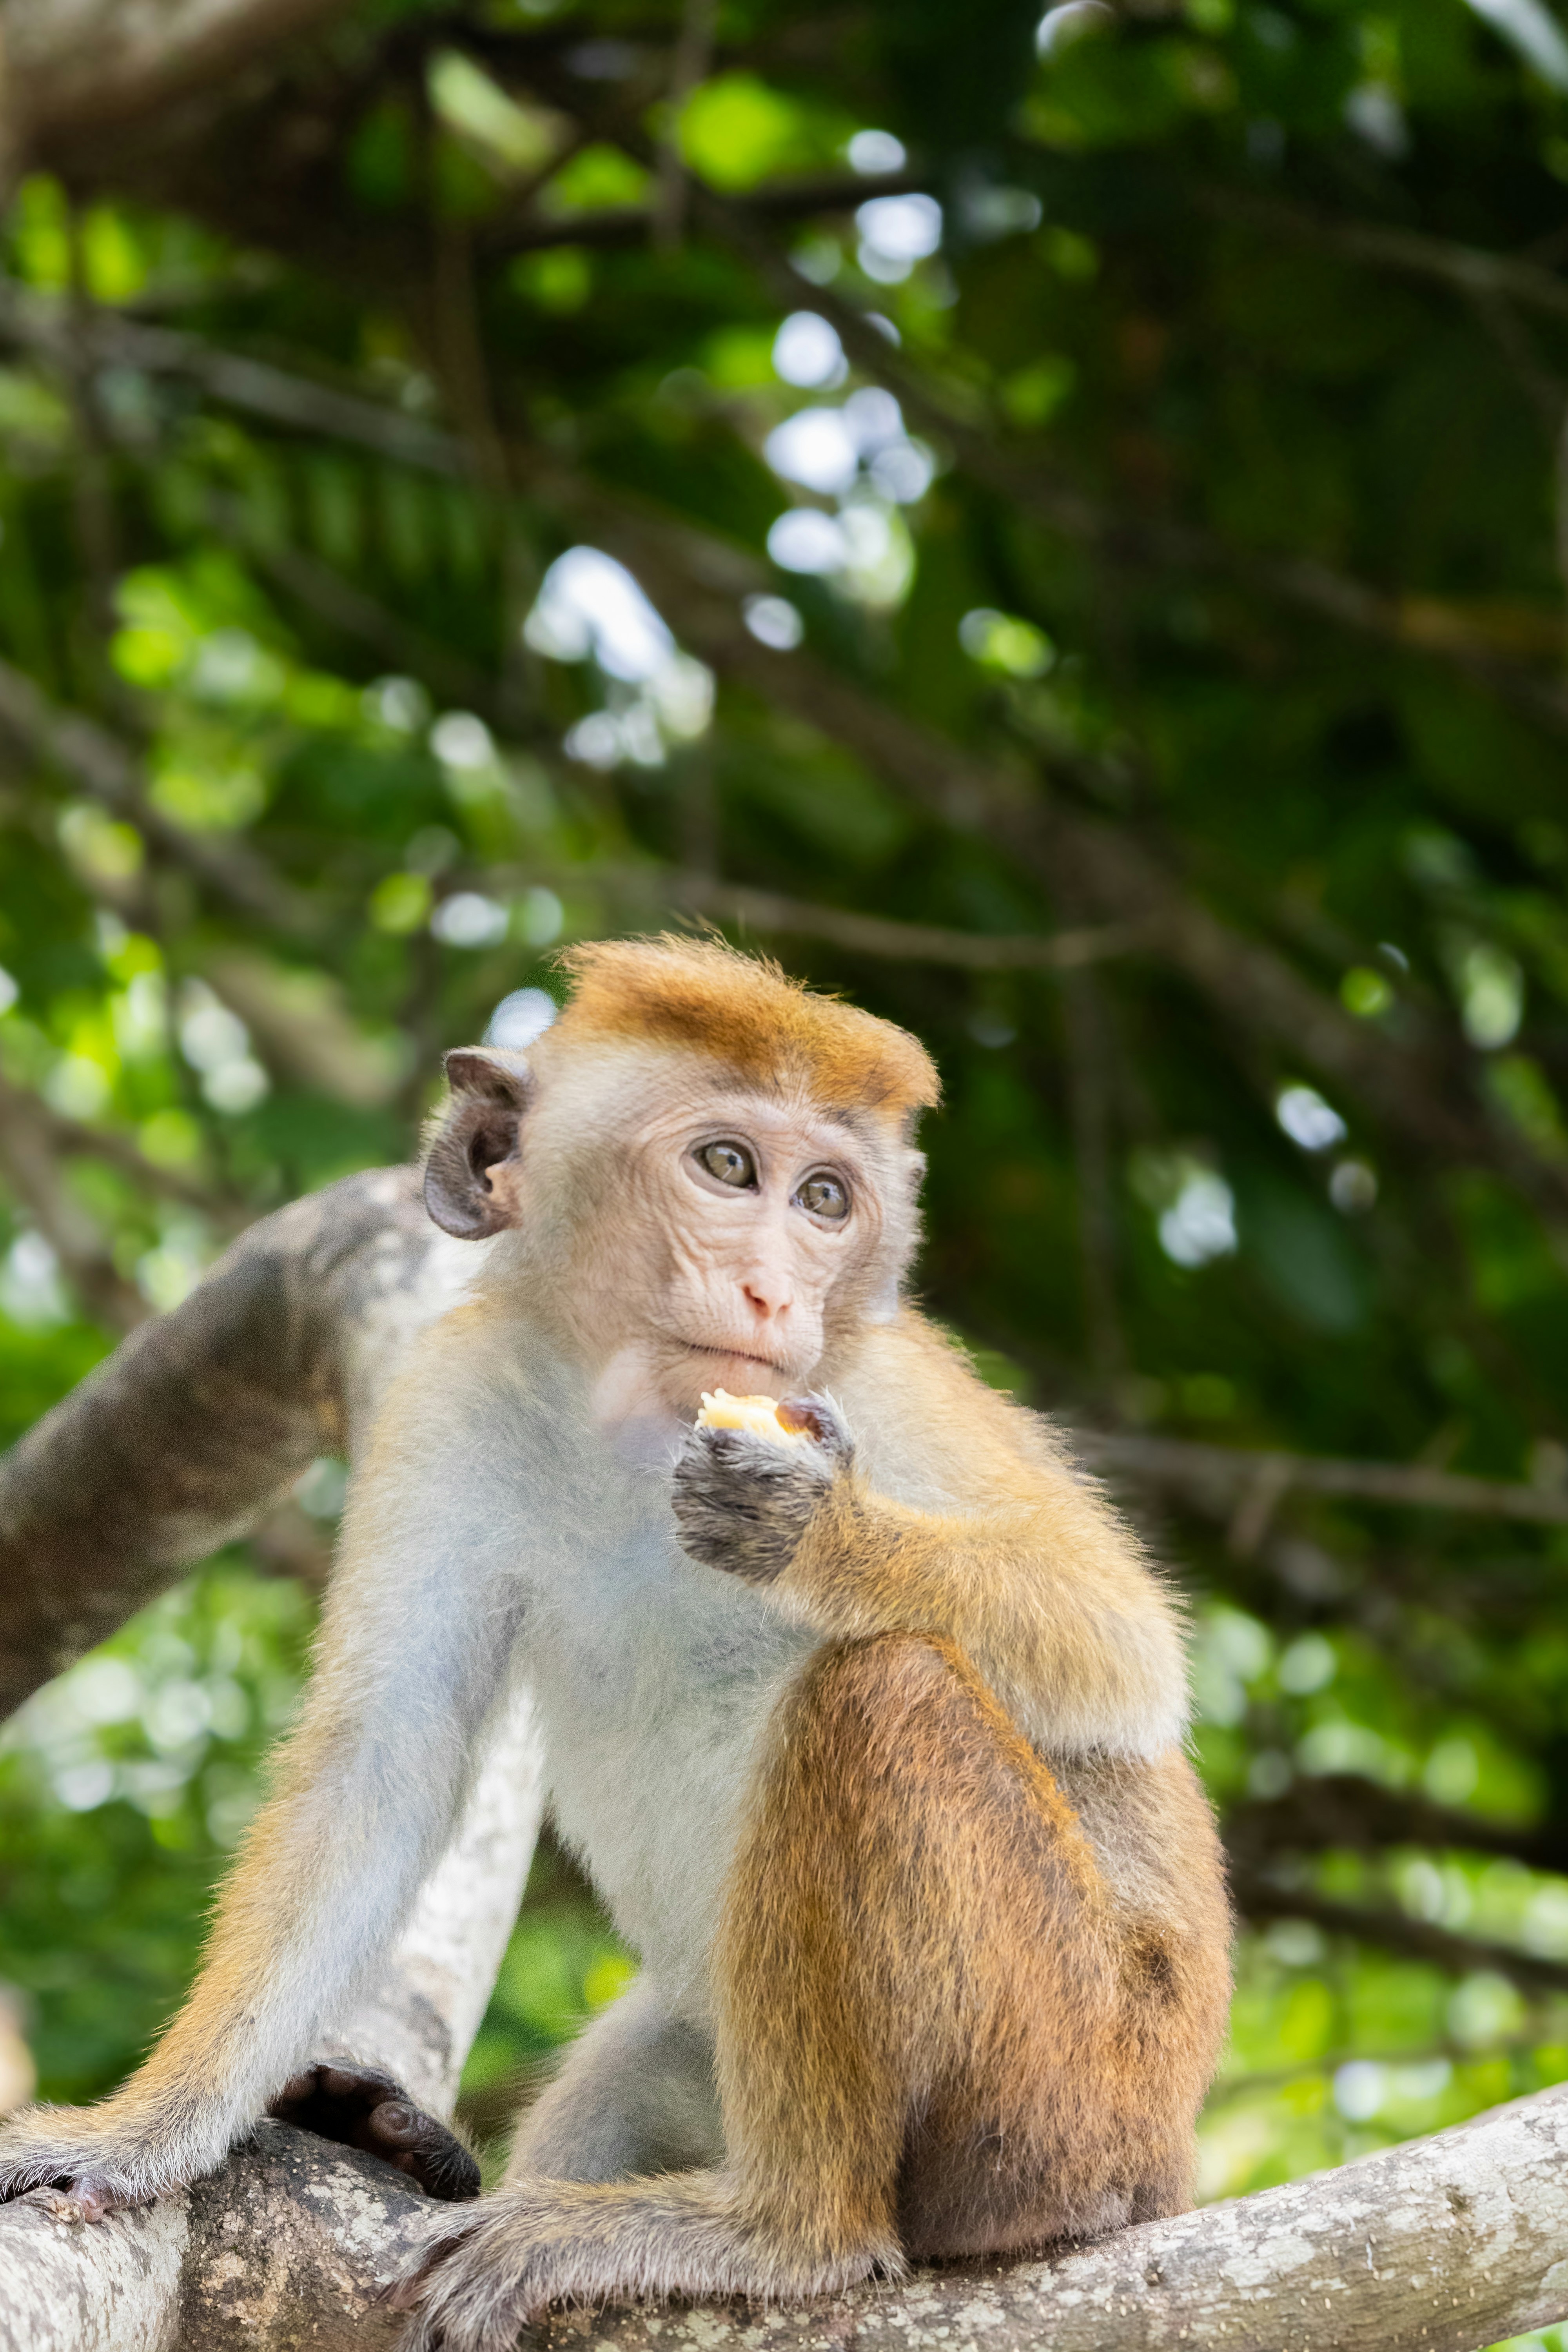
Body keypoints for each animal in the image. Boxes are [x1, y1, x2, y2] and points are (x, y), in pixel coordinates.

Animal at [0, 937, 1231, 2352]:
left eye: (826, 1198)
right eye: (728, 1167)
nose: (773, 1291)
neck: (632, 1425)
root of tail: (1166, 2156)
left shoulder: (873, 1383)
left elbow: (1120, 1648)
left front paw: (814, 1530)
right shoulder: (455, 1390)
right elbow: (384, 1762)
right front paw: (142, 2135)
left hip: (1071, 2084)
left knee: (886, 1690)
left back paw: (784, 2233)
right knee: (639, 2055)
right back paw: (421, 2144)